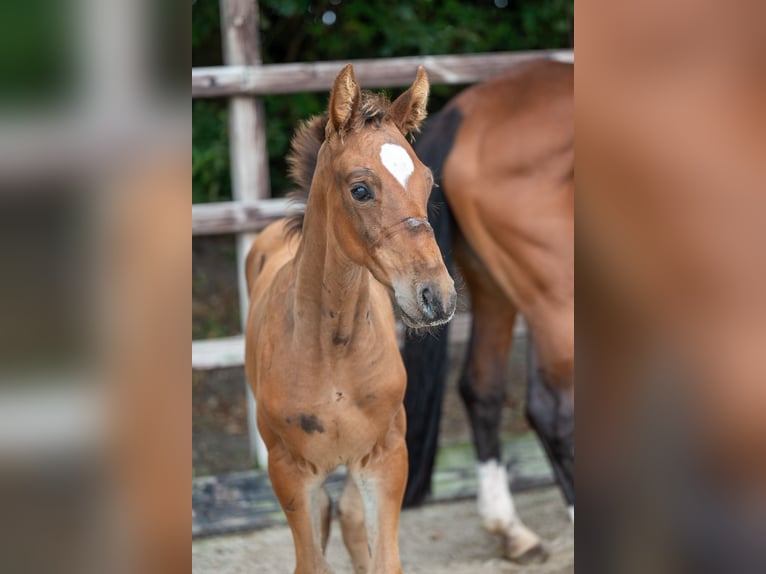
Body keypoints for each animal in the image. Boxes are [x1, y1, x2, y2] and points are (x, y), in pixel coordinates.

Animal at [246, 65, 456, 574]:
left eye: (427, 183)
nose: (436, 296)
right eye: (360, 189)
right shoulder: (288, 470)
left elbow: (384, 559)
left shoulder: (386, 457)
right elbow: (312, 561)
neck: (332, 346)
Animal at [402, 58, 576, 564]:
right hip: (558, 297)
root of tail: (466, 112)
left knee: (482, 387)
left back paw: (510, 529)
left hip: (499, 287)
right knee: (555, 411)